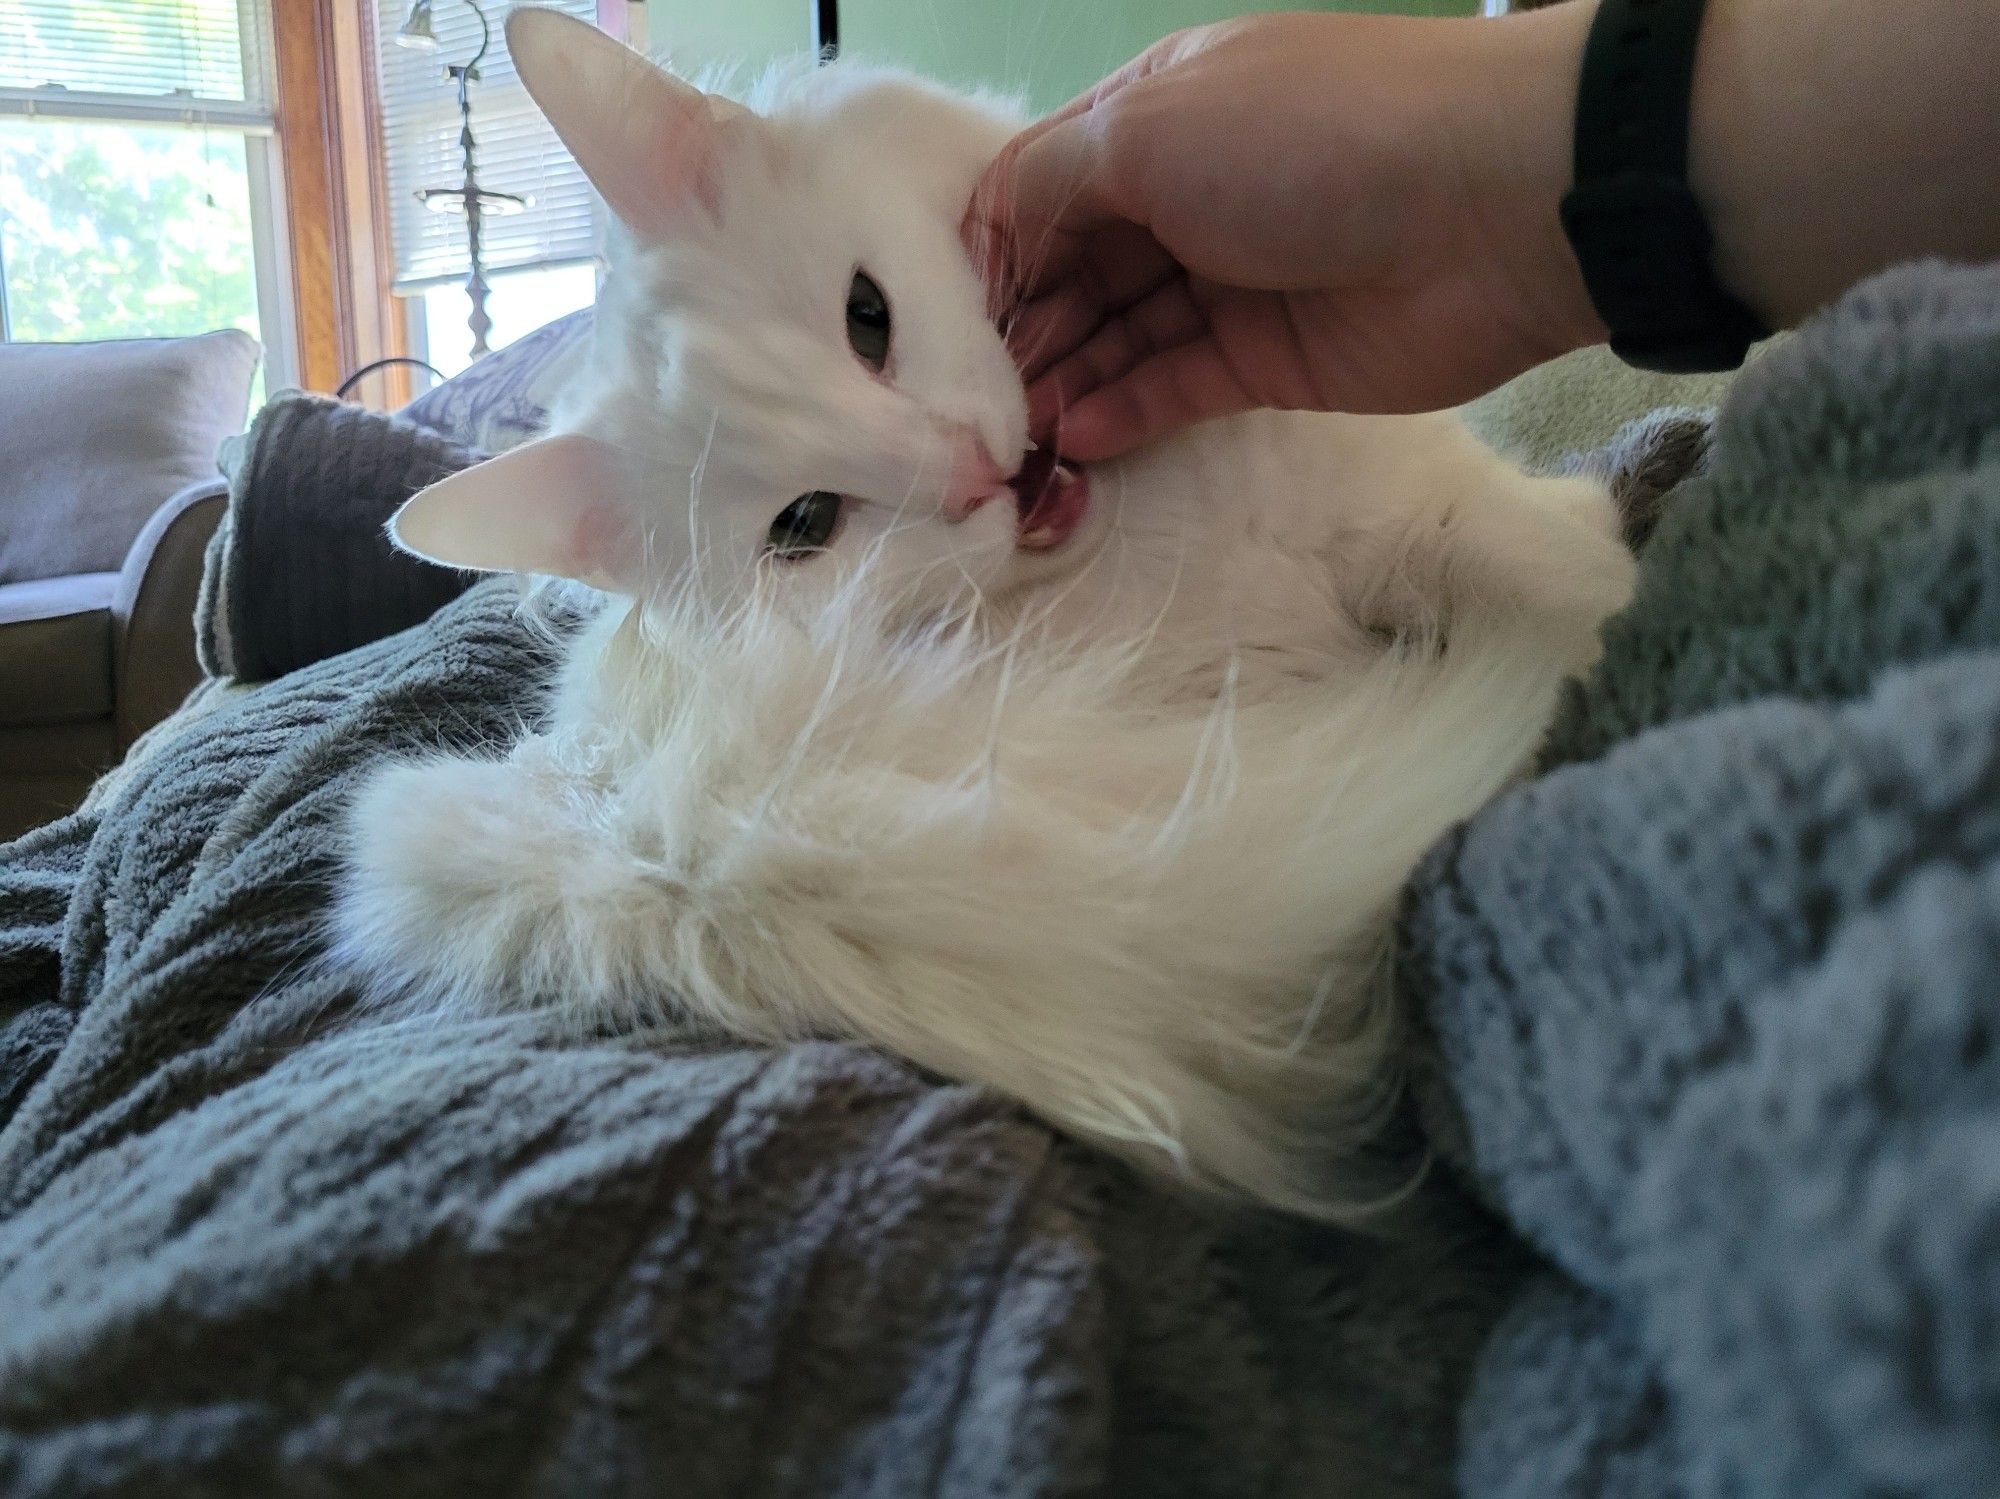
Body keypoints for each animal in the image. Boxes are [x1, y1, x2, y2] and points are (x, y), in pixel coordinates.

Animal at [336, 8, 1632, 1223]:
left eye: (867, 318)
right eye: (804, 524)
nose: (970, 470)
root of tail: (641, 818)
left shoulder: (1377, 488)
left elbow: (1502, 539)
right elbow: (1552, 580)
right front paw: (1611, 590)